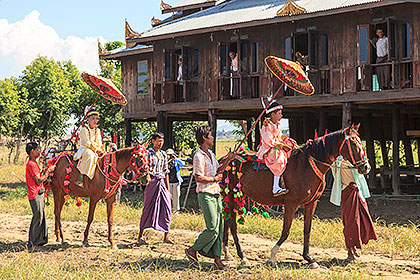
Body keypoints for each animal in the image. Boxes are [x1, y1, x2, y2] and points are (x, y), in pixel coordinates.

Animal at [218, 124, 370, 266]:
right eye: (353, 143)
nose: (366, 167)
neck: (306, 166)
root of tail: (223, 160)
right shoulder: (291, 204)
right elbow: (286, 231)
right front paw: (272, 256)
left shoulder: (311, 203)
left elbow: (307, 230)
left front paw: (308, 258)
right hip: (231, 195)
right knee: (232, 224)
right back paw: (242, 257)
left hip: (234, 196)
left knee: (227, 220)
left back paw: (227, 253)